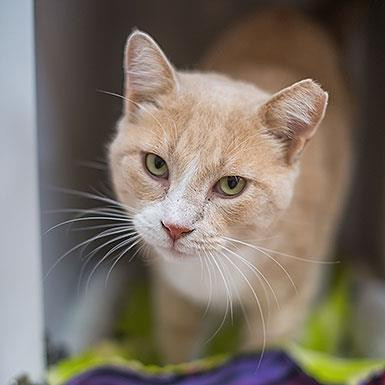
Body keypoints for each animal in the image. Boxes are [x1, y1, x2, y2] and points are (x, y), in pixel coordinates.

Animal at [108, 9, 352, 364]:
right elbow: (178, 346)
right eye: (156, 165)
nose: (175, 227)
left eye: (232, 184)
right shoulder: (172, 295)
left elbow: (263, 351)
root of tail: (288, 13)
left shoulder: (284, 306)